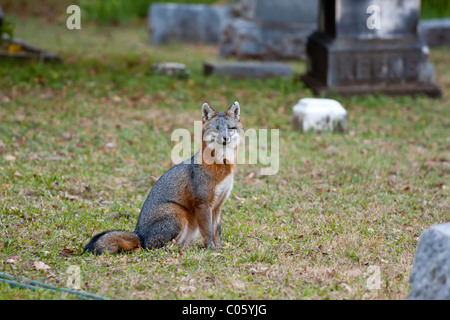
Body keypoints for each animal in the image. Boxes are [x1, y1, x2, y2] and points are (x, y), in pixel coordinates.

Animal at [82, 101, 241, 254]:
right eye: (216, 128)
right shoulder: (203, 204)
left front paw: (219, 248)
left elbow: (217, 231)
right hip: (177, 214)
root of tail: (139, 234)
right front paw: (211, 249)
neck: (222, 166)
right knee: (155, 247)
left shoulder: (217, 205)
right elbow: (208, 231)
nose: (225, 138)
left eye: (230, 128)